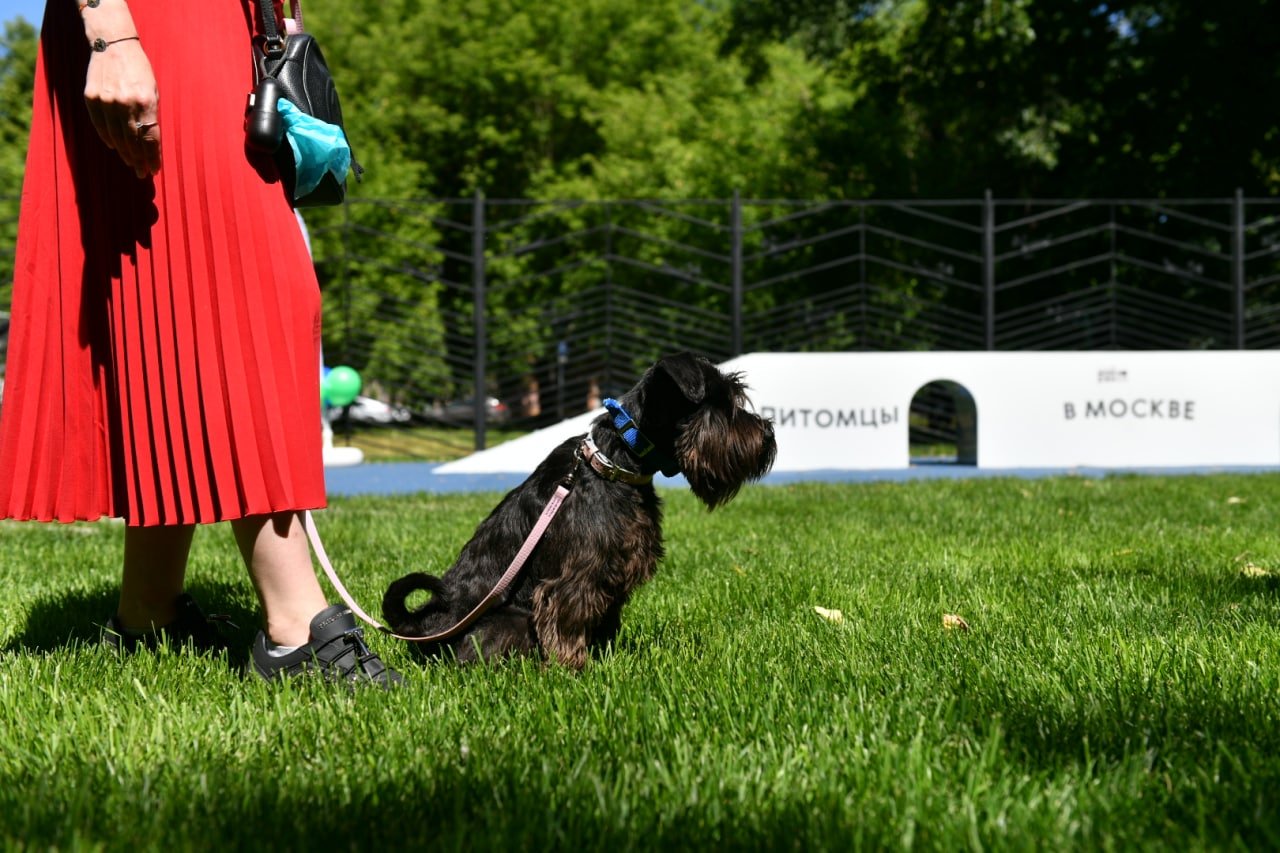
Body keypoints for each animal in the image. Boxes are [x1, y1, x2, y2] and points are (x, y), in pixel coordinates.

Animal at [378, 350, 773, 666]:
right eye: (722, 404)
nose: (768, 434)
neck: (616, 461)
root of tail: (423, 627)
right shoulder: (575, 578)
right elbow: (565, 622)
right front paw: (573, 670)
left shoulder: (612, 575)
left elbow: (605, 623)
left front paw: (607, 660)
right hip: (510, 620)